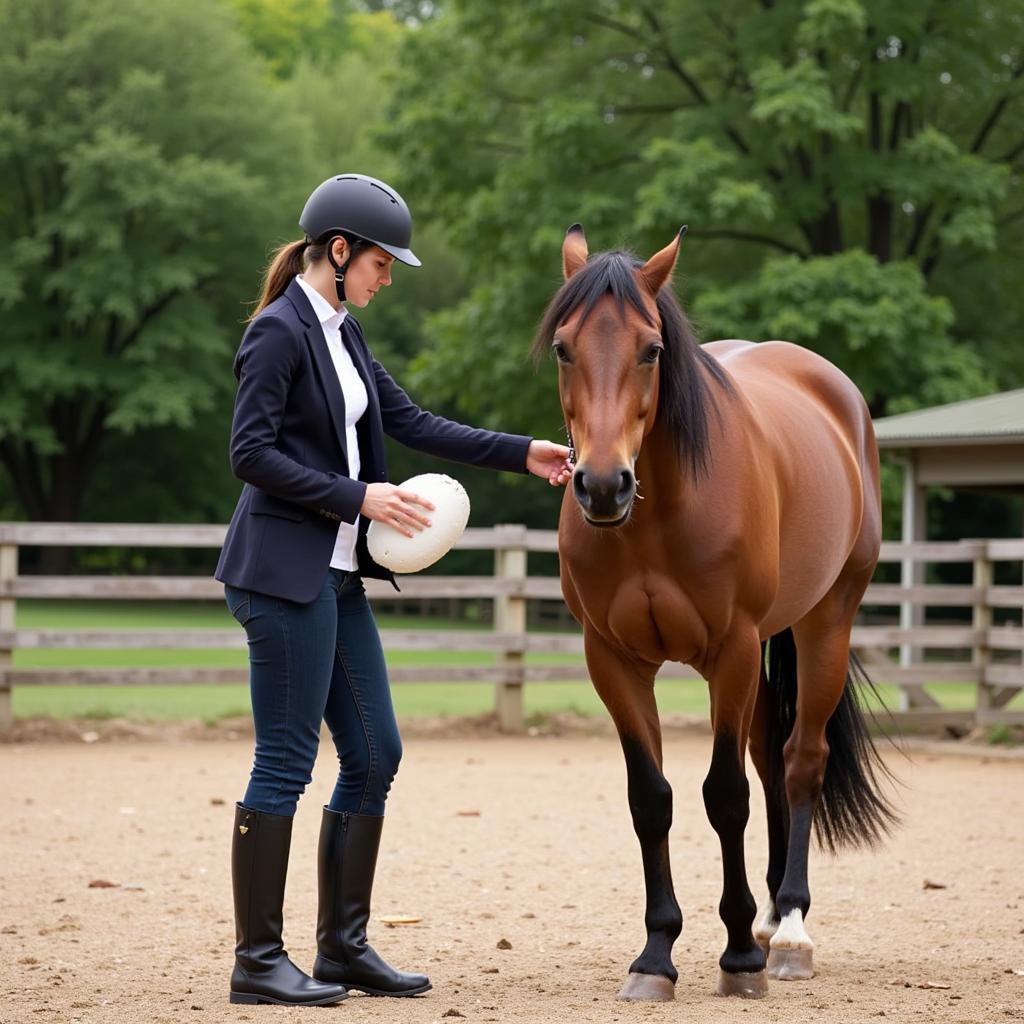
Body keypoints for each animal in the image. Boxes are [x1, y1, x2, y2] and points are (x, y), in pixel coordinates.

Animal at [536, 226, 897, 999]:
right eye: (563, 348)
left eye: (651, 349)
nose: (604, 486)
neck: (655, 518)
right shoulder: (613, 660)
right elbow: (652, 798)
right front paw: (655, 955)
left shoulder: (729, 651)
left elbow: (724, 794)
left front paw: (736, 957)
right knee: (770, 758)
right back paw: (769, 917)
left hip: (825, 621)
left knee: (799, 761)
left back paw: (787, 931)